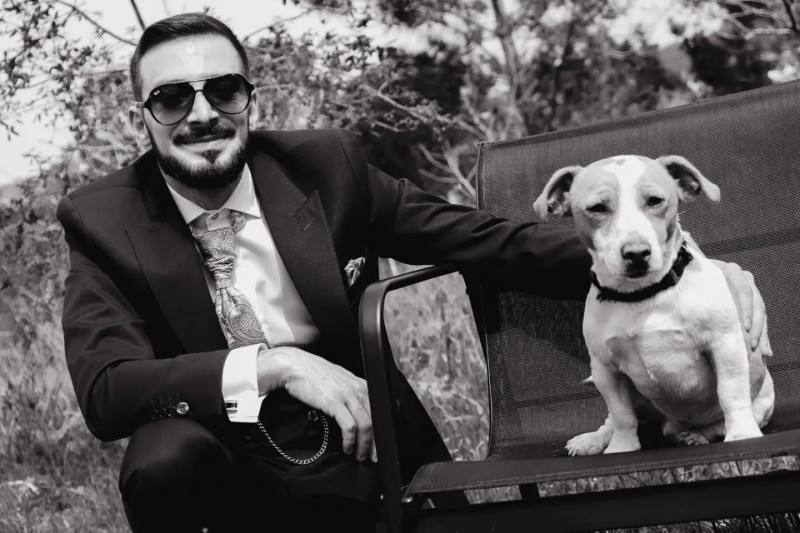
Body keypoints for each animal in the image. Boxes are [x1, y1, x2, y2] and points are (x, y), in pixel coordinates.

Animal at [532, 155, 774, 455]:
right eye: (597, 208)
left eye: (655, 201)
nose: (637, 253)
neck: (643, 295)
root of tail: (673, 426)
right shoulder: (605, 369)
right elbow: (622, 415)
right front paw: (622, 447)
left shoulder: (725, 345)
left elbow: (730, 393)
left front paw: (741, 435)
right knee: (615, 419)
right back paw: (594, 440)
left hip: (762, 402)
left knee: (720, 421)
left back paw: (698, 435)